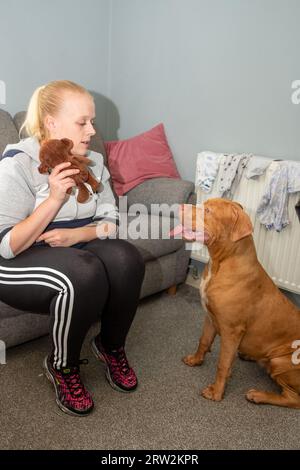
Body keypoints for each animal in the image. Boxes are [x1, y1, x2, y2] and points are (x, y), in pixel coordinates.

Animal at [177, 197, 298, 408]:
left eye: (208, 211)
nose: (179, 206)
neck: (221, 262)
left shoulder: (231, 331)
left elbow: (223, 364)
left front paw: (216, 392)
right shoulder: (210, 316)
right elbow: (203, 341)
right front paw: (196, 360)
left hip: (282, 361)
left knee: (293, 398)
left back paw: (258, 395)